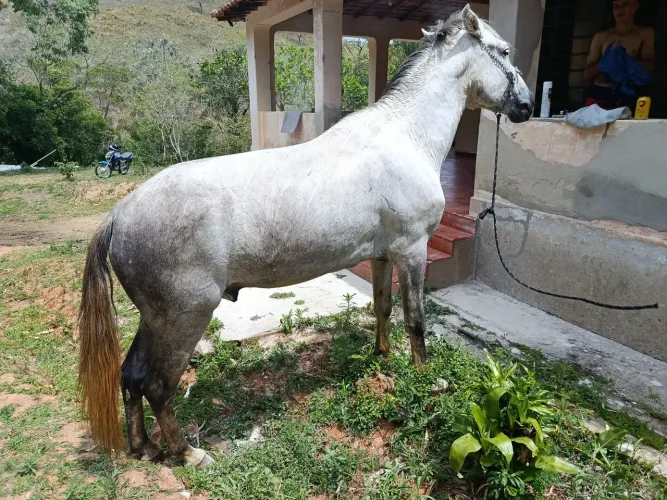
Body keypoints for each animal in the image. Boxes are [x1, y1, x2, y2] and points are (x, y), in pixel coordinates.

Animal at [78, 4, 534, 467]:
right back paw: (187, 453)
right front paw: (426, 381)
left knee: (131, 376)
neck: (405, 137)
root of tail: (119, 215)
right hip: (183, 318)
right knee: (158, 386)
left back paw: (144, 447)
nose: (527, 105)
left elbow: (383, 309)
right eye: (504, 50)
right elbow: (416, 320)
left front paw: (383, 357)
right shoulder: (412, 251)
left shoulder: (383, 255)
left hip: (155, 319)